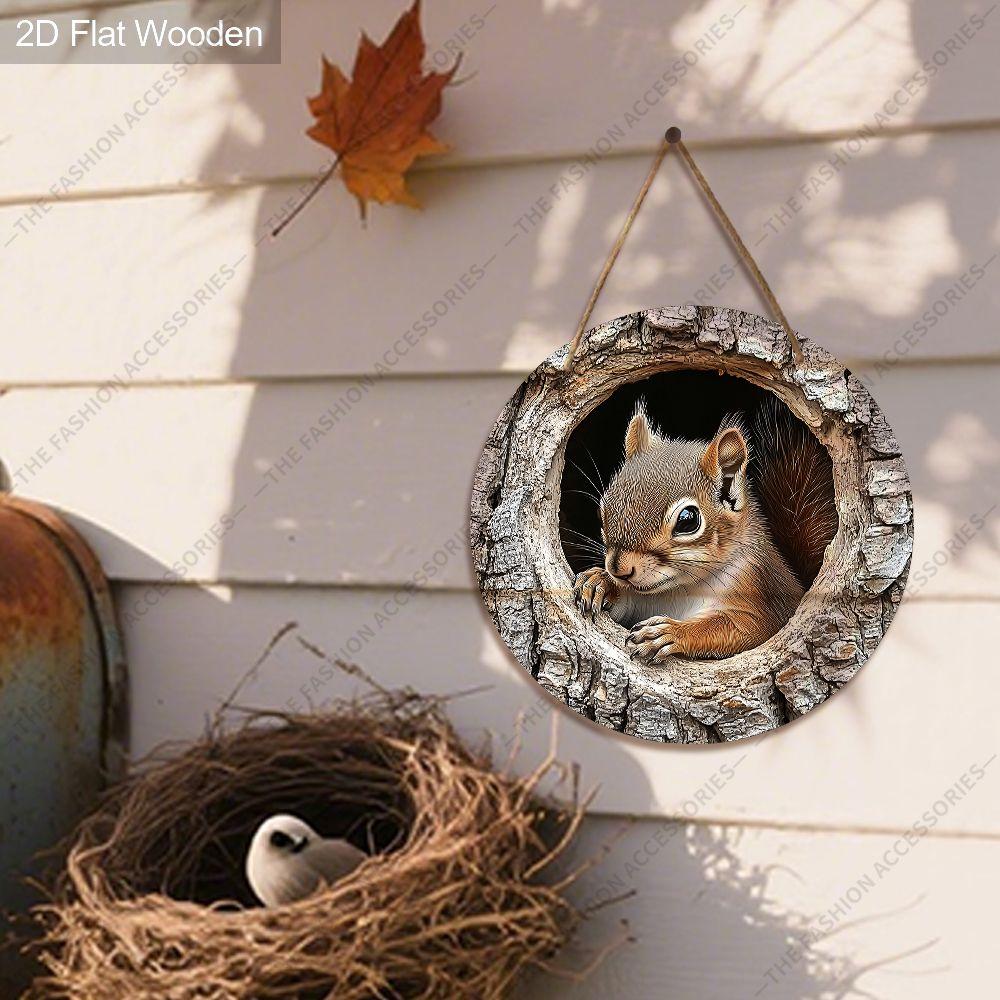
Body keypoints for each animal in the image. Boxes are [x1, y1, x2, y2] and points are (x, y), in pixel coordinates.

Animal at [572, 398, 837, 661]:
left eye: (688, 520)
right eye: (602, 511)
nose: (618, 570)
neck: (680, 590)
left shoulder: (765, 602)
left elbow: (738, 630)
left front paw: (672, 633)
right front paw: (600, 582)